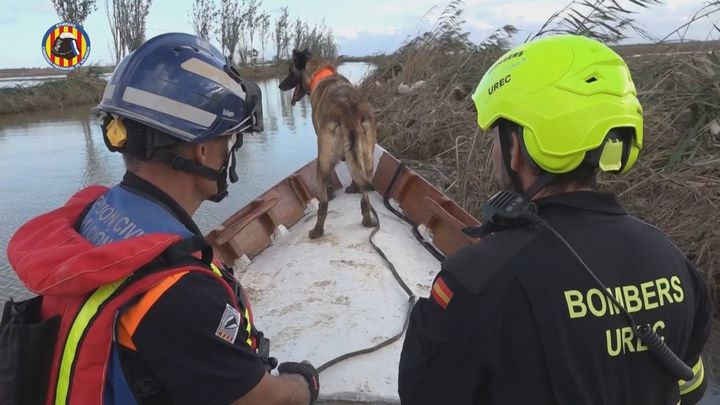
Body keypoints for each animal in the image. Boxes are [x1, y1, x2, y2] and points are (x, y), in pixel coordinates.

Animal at [278, 49, 376, 240]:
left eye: (291, 70)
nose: (279, 85)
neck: (321, 73)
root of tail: (348, 111)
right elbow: (355, 174)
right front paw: (352, 188)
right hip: (368, 157)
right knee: (365, 196)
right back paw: (368, 221)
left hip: (323, 161)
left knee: (323, 205)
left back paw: (317, 231)